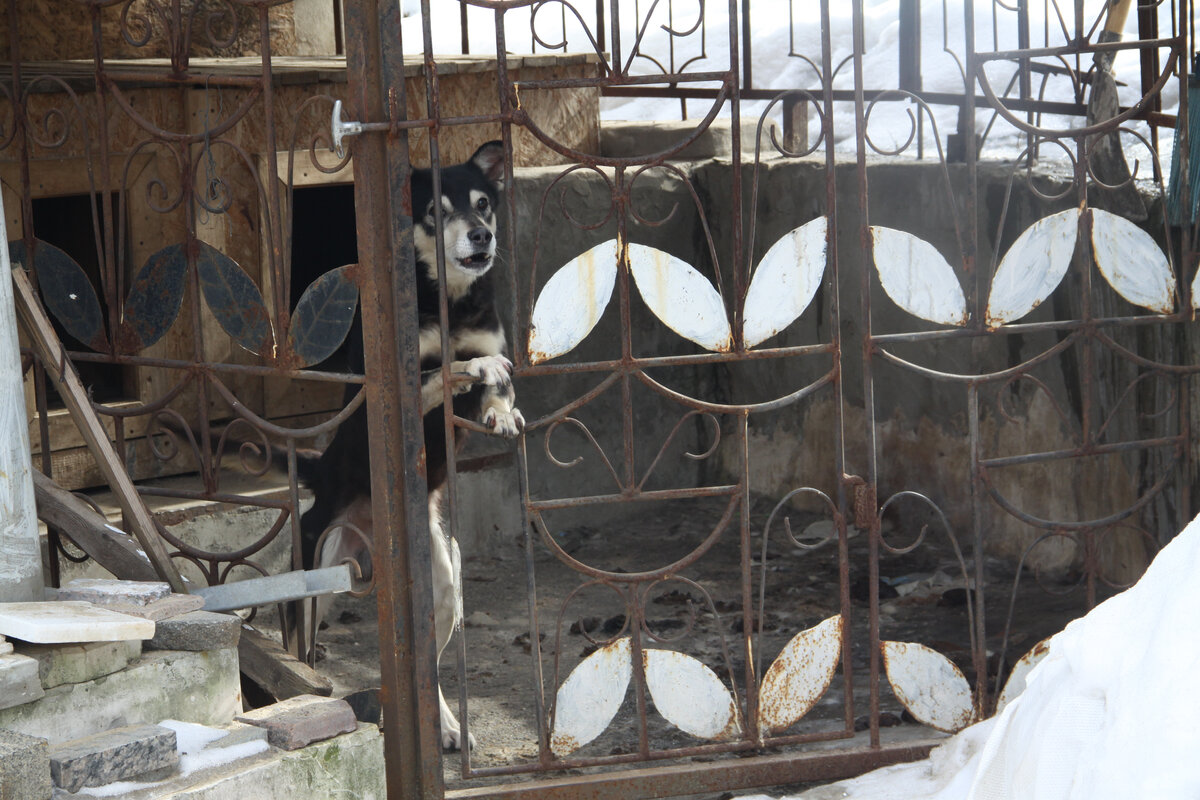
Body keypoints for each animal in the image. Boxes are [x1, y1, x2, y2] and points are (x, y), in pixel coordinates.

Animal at [294, 142, 520, 753]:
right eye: (436, 213)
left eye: (483, 204)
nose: (481, 237)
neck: (451, 301)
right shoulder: (399, 389)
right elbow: (449, 369)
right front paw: (473, 369)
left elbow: (492, 386)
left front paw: (501, 410)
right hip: (315, 567)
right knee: (301, 641)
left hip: (444, 587)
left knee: (427, 667)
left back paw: (445, 726)